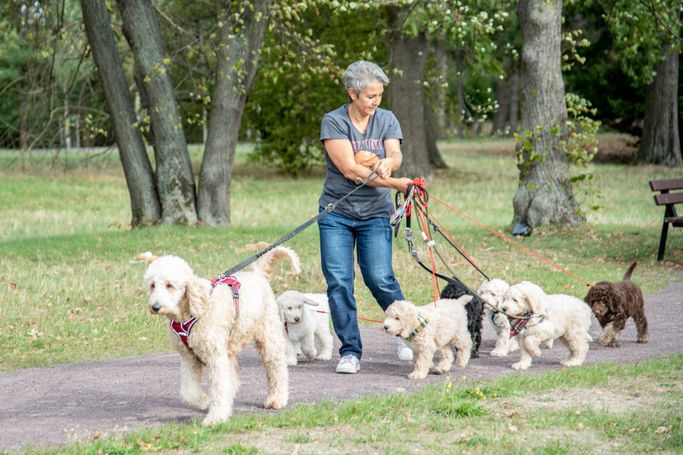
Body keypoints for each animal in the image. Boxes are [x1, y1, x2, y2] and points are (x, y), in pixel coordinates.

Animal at [143, 248, 300, 426]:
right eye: (152, 285)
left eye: (170, 285)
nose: (155, 307)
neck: (190, 311)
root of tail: (257, 274)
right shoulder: (188, 357)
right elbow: (188, 392)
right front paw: (203, 401)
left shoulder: (215, 356)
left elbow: (218, 387)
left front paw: (215, 418)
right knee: (233, 374)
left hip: (268, 336)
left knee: (277, 368)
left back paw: (276, 399)